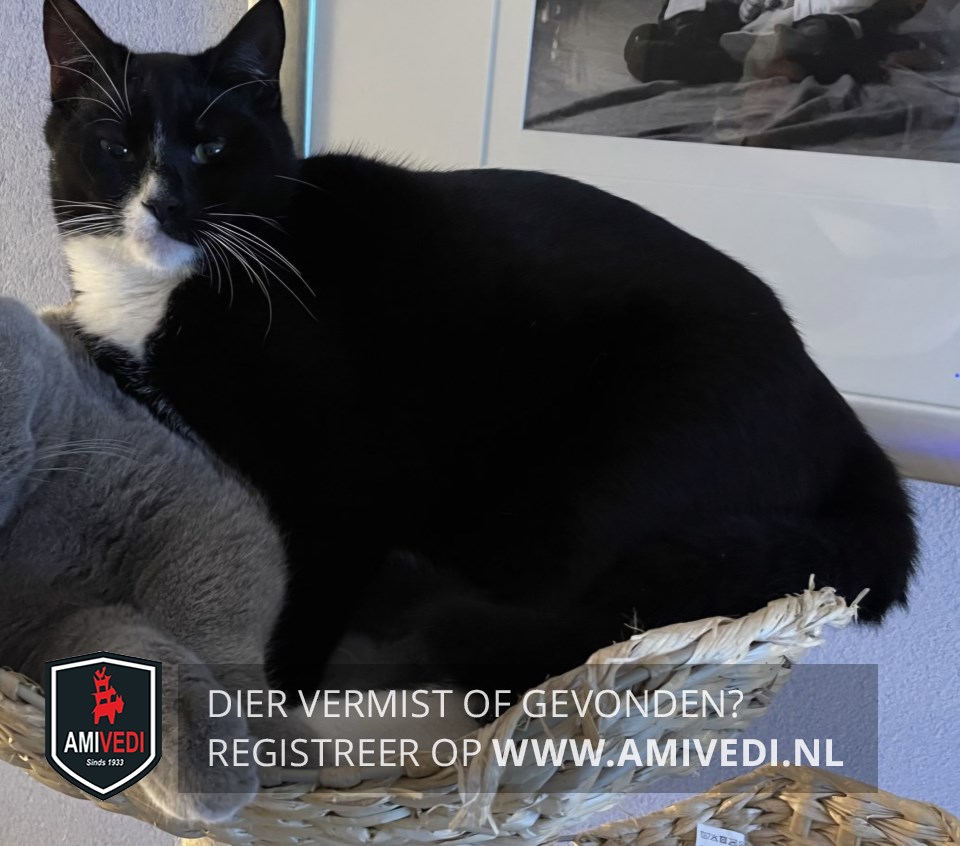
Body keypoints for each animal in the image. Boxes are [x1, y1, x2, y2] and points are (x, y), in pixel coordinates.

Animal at [42, 0, 918, 700]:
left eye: (213, 149)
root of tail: (846, 428)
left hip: (600, 478)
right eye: (117, 148)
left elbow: (315, 588)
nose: (162, 203)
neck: (166, 292)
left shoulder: (346, 482)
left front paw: (273, 717)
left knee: (563, 632)